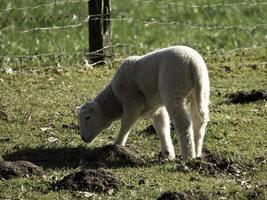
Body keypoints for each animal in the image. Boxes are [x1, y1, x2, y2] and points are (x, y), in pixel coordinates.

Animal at [76, 46, 210, 160]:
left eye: (87, 117)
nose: (82, 138)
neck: (115, 98)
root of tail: (193, 65)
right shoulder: (155, 108)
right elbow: (161, 126)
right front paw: (167, 153)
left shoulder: (132, 102)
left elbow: (126, 124)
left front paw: (116, 146)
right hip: (202, 90)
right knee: (200, 121)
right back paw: (197, 153)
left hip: (174, 88)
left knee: (184, 123)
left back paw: (188, 155)